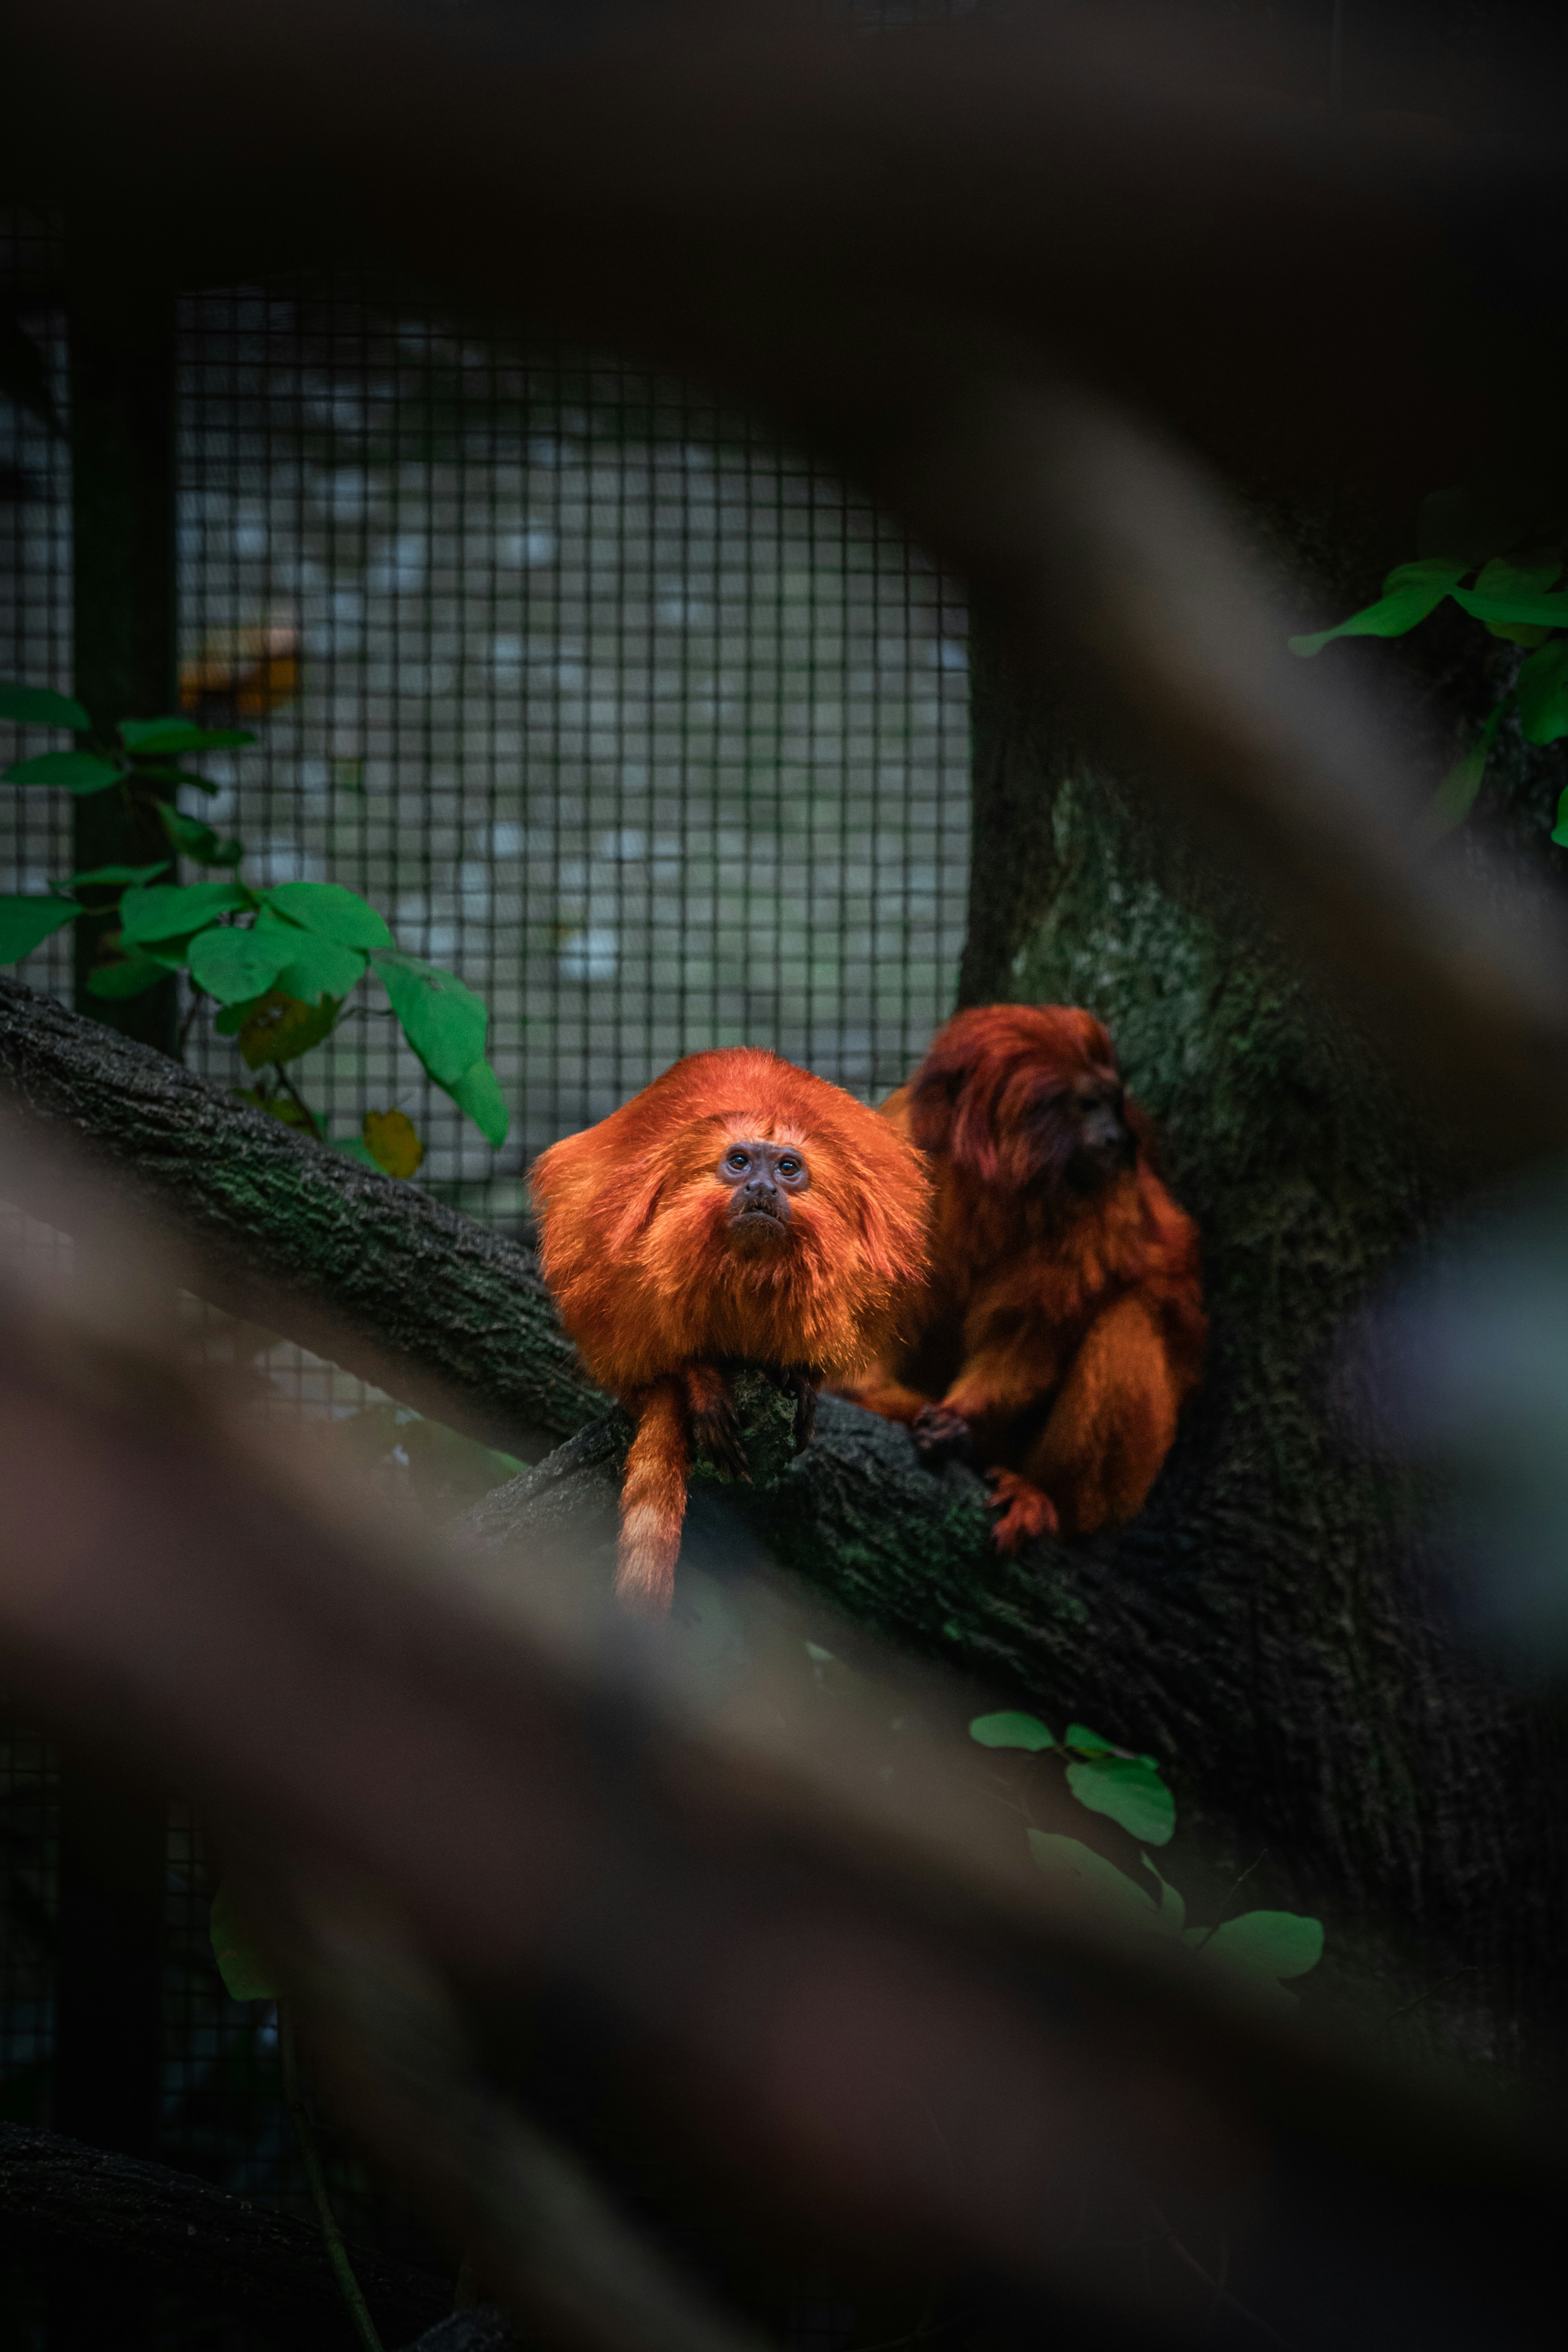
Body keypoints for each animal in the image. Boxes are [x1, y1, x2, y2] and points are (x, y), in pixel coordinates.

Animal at [835, 1004, 1205, 1553]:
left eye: (1113, 1106)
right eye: (1089, 1105)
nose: (1117, 1137)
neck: (1000, 1180)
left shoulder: (1101, 1195)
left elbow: (1032, 1331)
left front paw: (958, 1422)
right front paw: (869, 1394)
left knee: (1131, 1318)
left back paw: (1043, 1495)